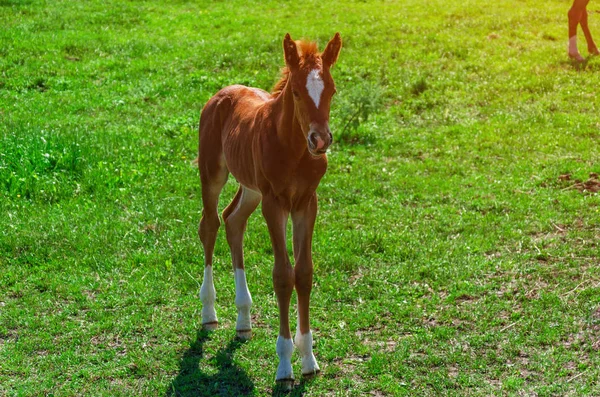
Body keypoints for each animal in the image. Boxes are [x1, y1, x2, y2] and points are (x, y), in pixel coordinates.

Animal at [198, 32, 342, 386]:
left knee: (233, 221)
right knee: (210, 225)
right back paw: (209, 312)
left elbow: (303, 272)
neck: (293, 149)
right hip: (213, 174)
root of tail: (221, 93)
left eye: (331, 90)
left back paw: (243, 320)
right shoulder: (274, 203)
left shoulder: (306, 202)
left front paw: (308, 358)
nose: (320, 140)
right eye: (296, 91)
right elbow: (282, 275)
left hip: (251, 188)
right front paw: (285, 365)